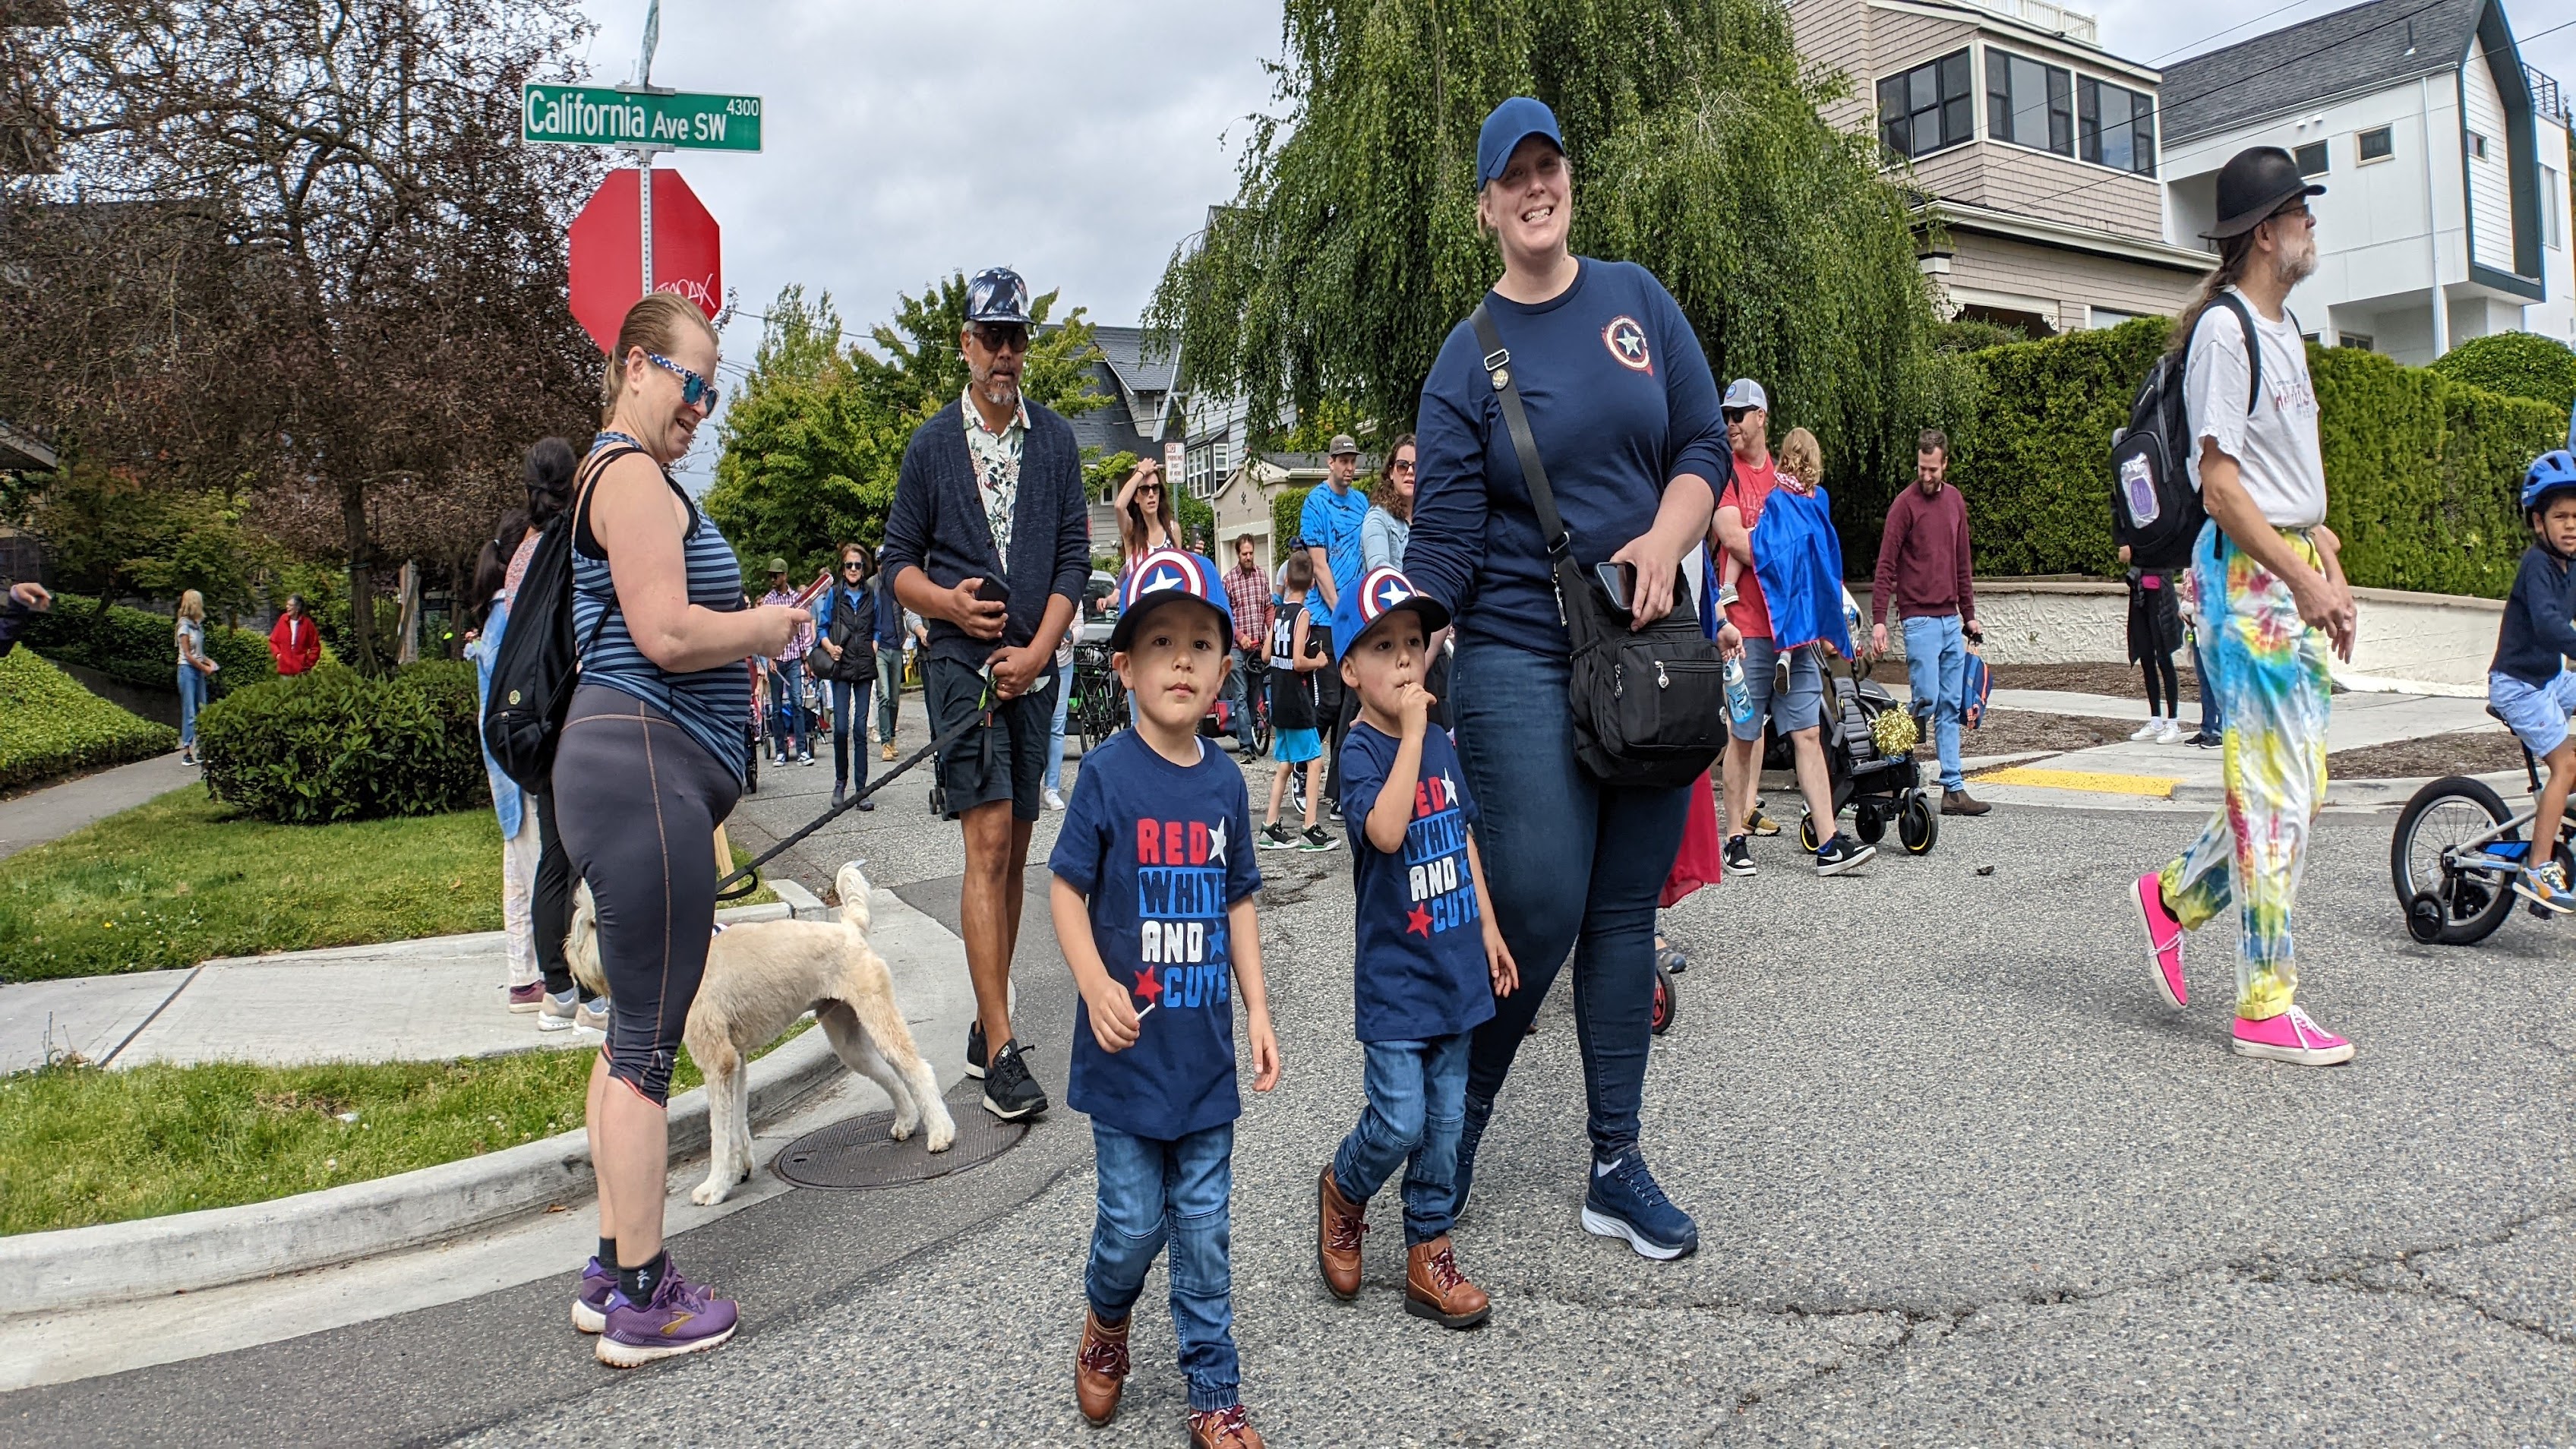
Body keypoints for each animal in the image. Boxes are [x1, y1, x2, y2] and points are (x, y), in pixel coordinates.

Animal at [574, 851, 958, 1201]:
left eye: (594, 923)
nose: (574, 964)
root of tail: (848, 927)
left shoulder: (717, 1061)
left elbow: (719, 1131)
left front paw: (715, 1186)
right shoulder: (737, 1061)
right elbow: (737, 1120)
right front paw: (739, 1169)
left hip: (877, 1017)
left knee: (916, 1069)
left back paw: (940, 1133)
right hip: (847, 1039)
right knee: (889, 1074)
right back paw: (906, 1122)